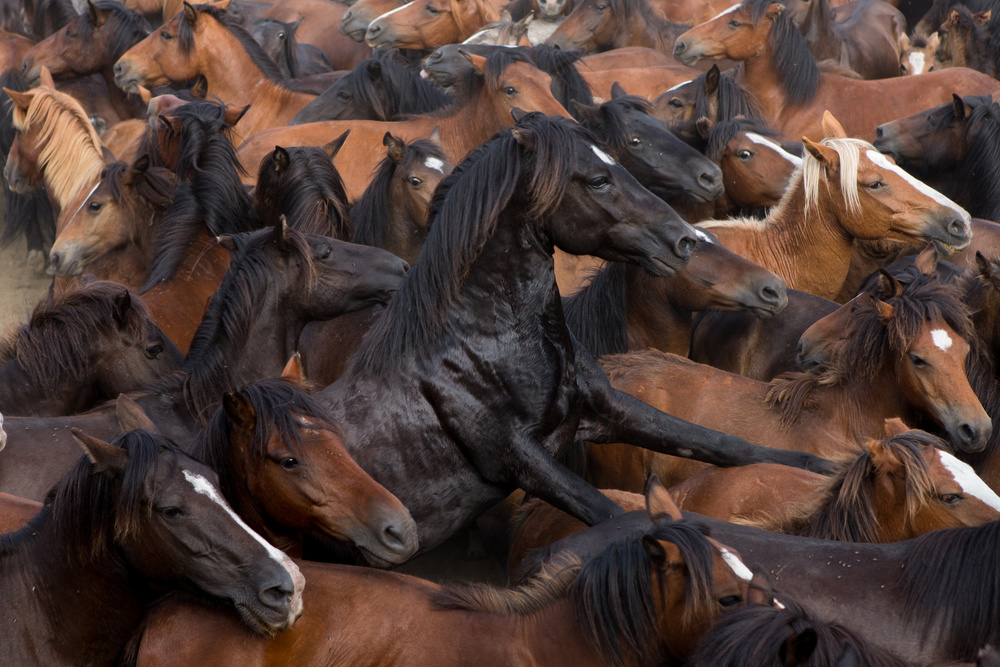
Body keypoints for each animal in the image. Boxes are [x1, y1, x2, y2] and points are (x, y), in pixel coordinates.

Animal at [313, 112, 830, 557]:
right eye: (598, 180)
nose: (682, 240)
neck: (483, 340)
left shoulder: (604, 407)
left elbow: (725, 444)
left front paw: (823, 467)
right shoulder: (518, 457)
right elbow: (606, 510)